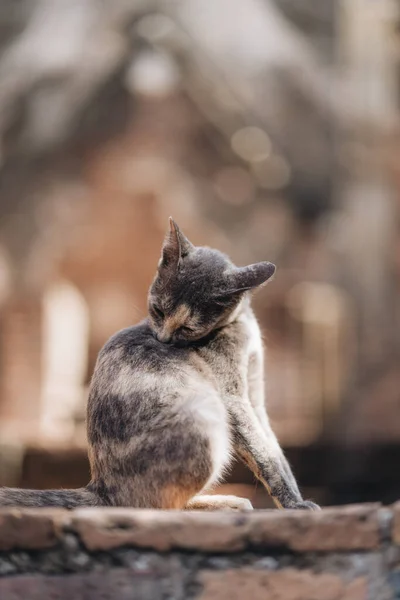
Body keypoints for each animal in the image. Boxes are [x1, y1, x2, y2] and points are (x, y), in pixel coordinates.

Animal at [0, 220, 318, 510]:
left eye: (188, 328)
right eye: (158, 310)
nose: (163, 340)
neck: (240, 326)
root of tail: (99, 488)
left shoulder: (256, 399)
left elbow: (274, 451)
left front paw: (295, 497)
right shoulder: (234, 399)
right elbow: (264, 456)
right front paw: (295, 505)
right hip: (205, 421)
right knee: (155, 505)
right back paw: (224, 502)